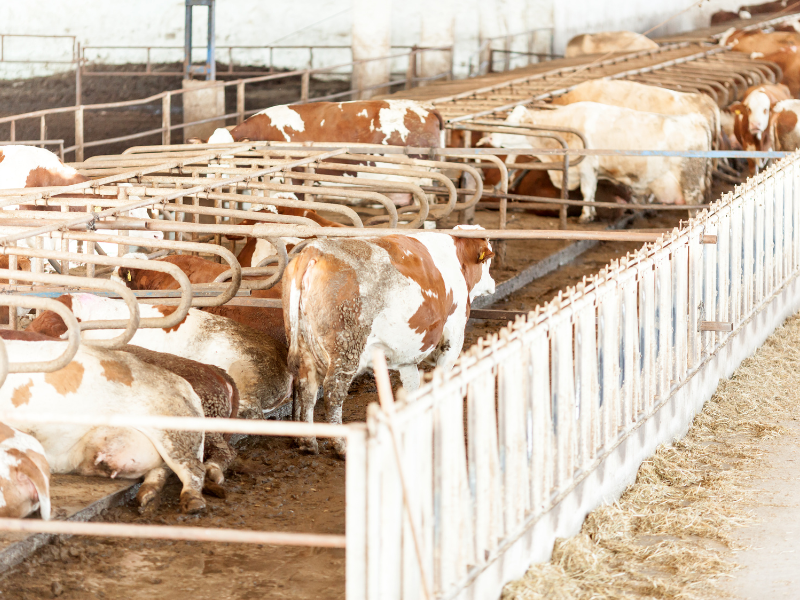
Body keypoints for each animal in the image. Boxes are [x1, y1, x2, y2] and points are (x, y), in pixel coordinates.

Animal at [0, 330, 208, 512]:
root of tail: (186, 387)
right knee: (161, 469)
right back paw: (146, 498)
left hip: (171, 426)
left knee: (192, 467)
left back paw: (193, 503)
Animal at [282, 225, 494, 454]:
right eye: (487, 261)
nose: (492, 282)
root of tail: (316, 249)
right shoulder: (453, 338)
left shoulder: (408, 355)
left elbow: (412, 386)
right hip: (346, 349)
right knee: (333, 392)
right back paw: (340, 445)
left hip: (303, 346)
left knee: (306, 388)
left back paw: (307, 441)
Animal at [490, 103, 708, 223]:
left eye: (512, 125)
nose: (491, 137)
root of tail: (696, 119)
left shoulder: (586, 168)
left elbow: (587, 191)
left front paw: (585, 216)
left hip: (690, 182)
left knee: (695, 205)